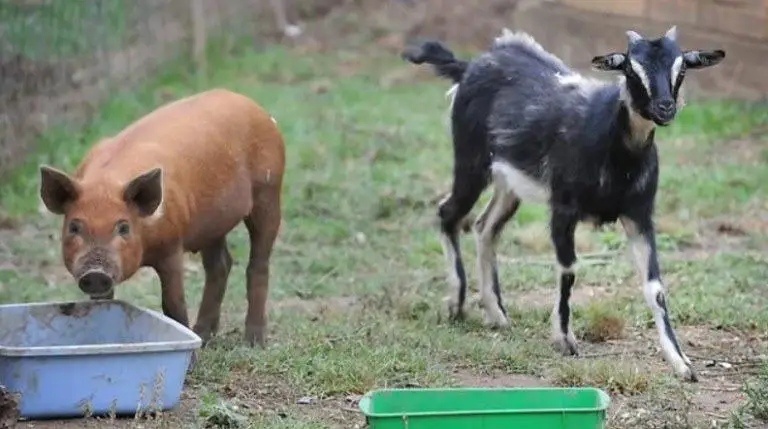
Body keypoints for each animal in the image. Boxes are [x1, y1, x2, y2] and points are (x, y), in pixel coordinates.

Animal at [38, 88, 285, 347]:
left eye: (123, 227)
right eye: (74, 227)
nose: (95, 273)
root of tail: (254, 106)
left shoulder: (172, 246)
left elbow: (173, 305)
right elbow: (102, 303)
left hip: (269, 190)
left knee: (257, 264)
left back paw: (253, 343)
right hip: (213, 225)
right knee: (220, 265)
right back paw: (203, 335)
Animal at [402, 27, 725, 381]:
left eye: (682, 70)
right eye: (629, 69)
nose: (665, 107)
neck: (616, 151)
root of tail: (468, 66)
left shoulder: (639, 215)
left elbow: (655, 288)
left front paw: (681, 363)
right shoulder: (562, 207)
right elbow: (568, 269)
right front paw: (563, 338)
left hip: (509, 181)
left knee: (485, 226)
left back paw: (496, 312)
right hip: (471, 160)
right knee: (449, 212)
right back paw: (457, 304)